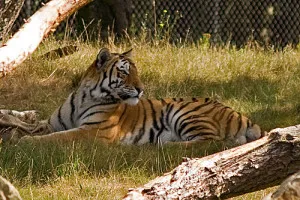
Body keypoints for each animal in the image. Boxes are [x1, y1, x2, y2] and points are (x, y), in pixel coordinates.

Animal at [0, 48, 262, 145]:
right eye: (125, 72)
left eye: (137, 71)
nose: (141, 88)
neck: (86, 96)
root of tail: (243, 116)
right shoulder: (54, 123)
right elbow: (32, 125)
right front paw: (14, 132)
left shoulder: (93, 131)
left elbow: (58, 138)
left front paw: (24, 142)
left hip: (184, 112)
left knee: (208, 144)